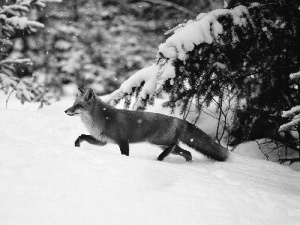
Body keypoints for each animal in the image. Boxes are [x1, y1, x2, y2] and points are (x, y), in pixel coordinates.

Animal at [64, 87, 229, 162]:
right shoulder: (102, 141)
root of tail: (176, 119)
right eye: (73, 104)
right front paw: (77, 144)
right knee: (186, 152)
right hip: (164, 144)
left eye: (77, 105)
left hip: (157, 141)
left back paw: (160, 158)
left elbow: (125, 155)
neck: (102, 118)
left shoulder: (123, 141)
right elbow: (82, 136)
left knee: (173, 145)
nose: (65, 111)